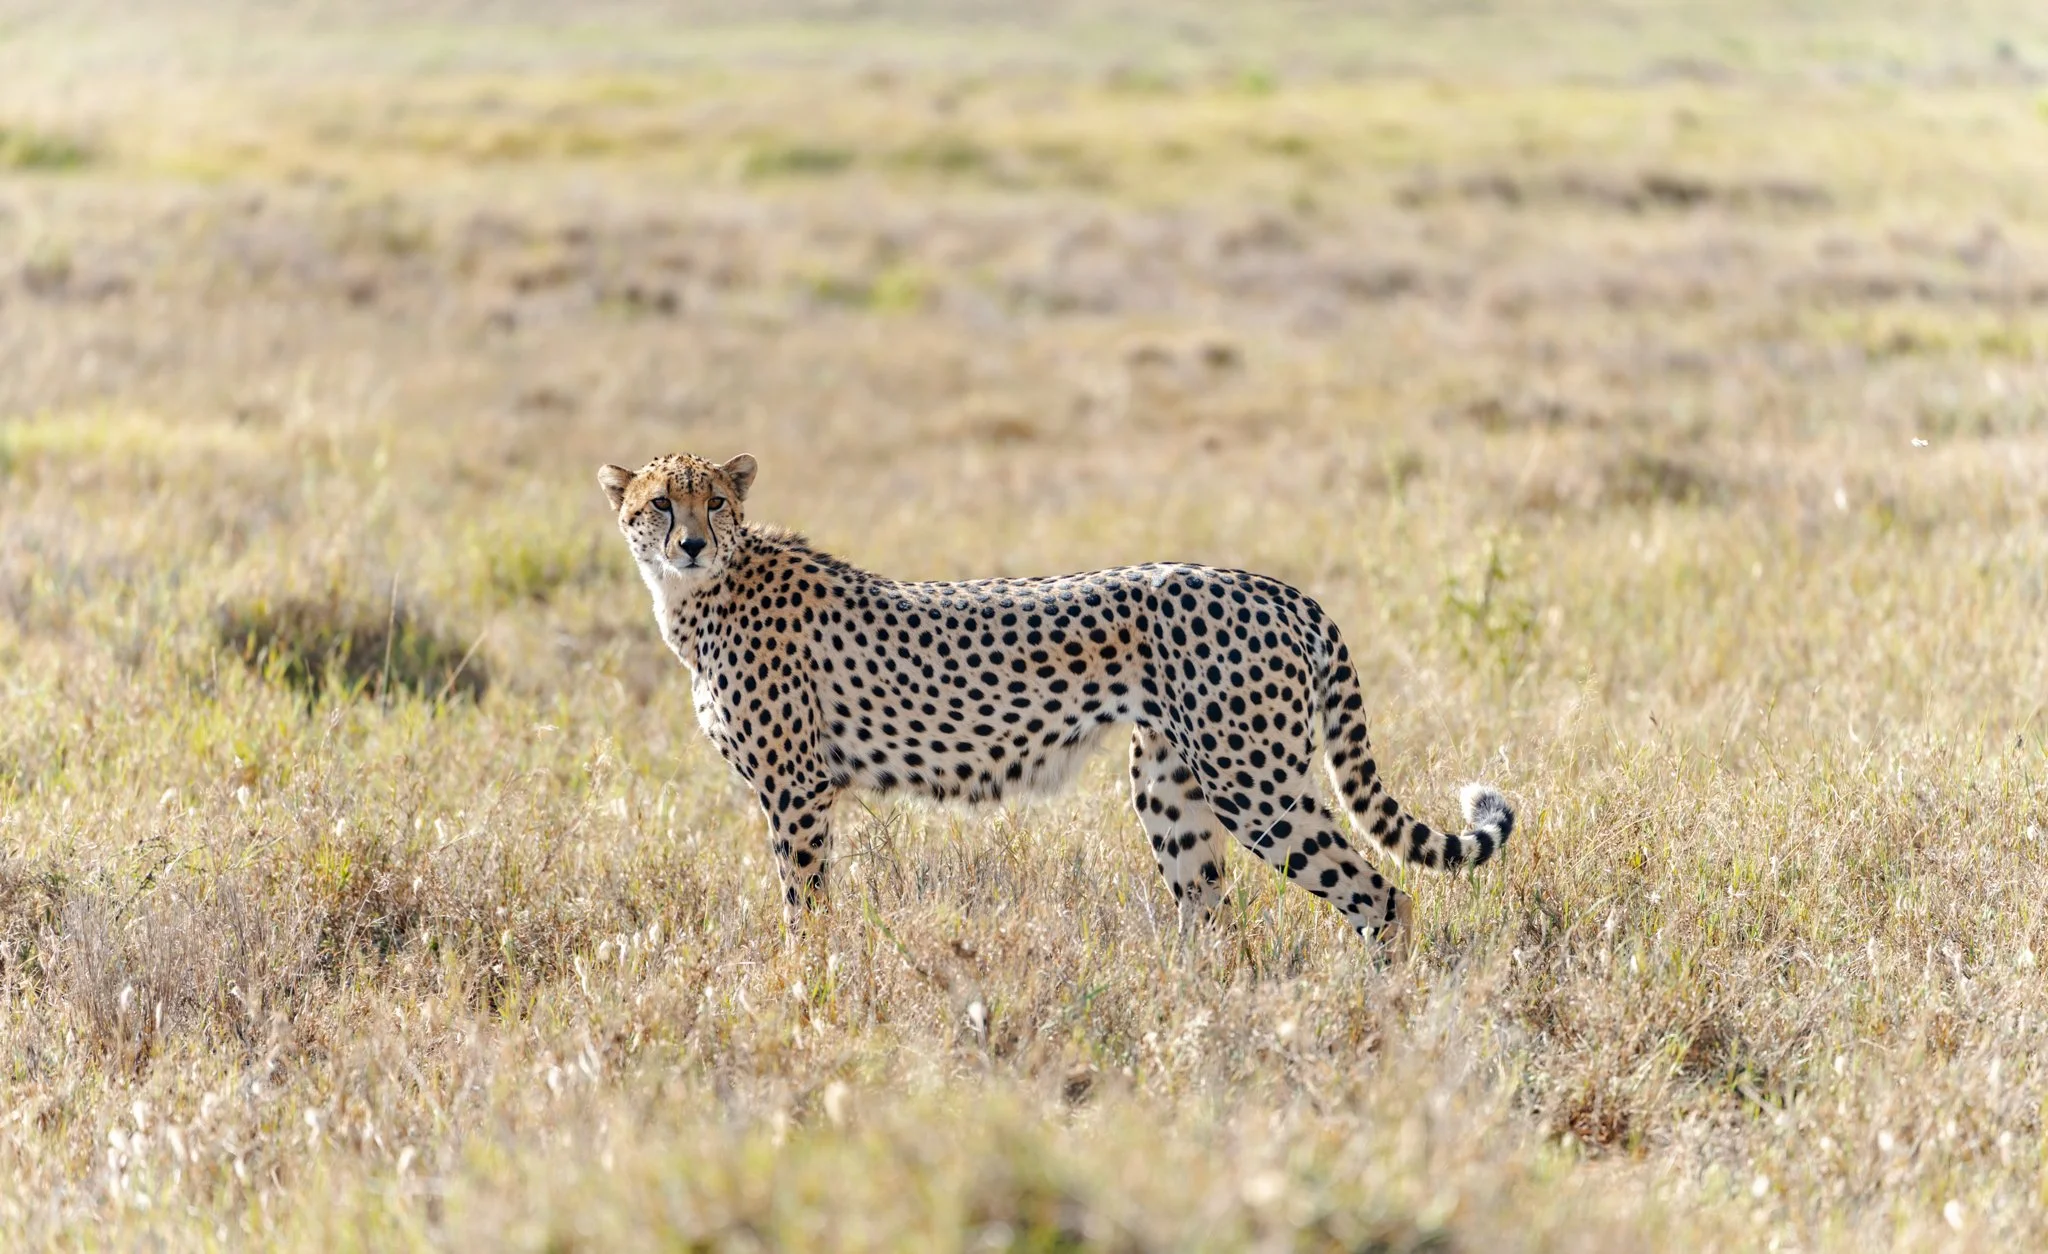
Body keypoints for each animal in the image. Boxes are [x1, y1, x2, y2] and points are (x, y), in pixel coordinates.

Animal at [598, 451, 1514, 952]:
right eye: (659, 503)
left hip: (1252, 782)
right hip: (1170, 785)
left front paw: (805, 985)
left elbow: (803, 903)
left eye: (716, 501)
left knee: (1380, 896)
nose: (690, 543)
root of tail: (1275, 587)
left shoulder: (796, 789)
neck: (702, 594)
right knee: (1213, 916)